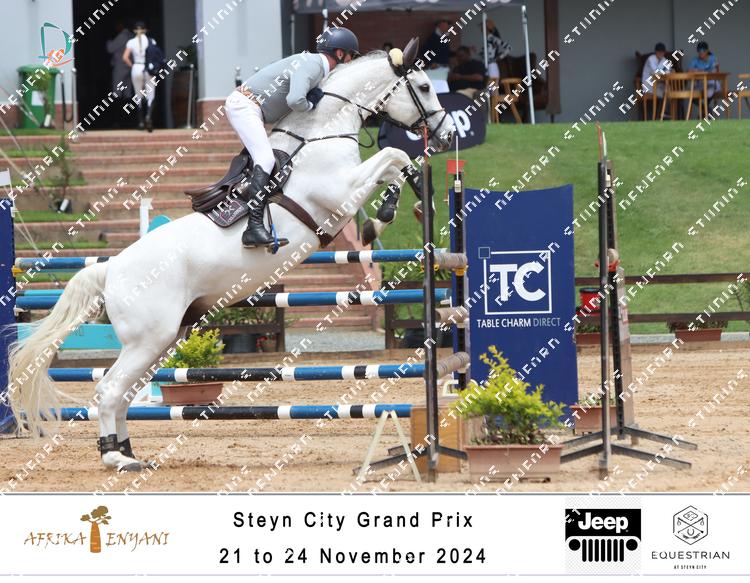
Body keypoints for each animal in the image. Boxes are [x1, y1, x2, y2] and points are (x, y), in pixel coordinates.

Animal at [7, 41, 456, 471]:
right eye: (425, 86)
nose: (449, 134)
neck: (323, 133)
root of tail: (111, 268)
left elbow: (397, 163)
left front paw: (418, 204)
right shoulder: (342, 193)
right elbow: (393, 159)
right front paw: (382, 219)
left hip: (160, 340)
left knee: (123, 393)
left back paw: (129, 452)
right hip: (148, 339)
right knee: (110, 388)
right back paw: (115, 457)